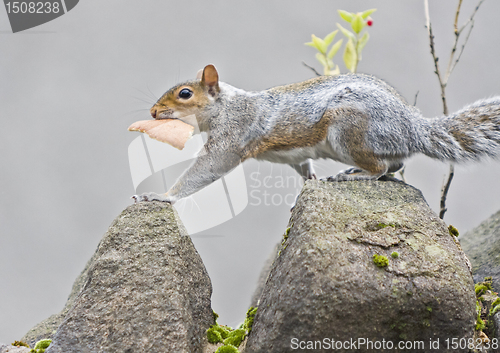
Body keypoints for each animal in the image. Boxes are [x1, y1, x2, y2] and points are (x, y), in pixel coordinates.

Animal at [132, 63, 500, 201]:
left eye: (185, 94)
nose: (153, 112)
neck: (226, 106)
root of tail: (413, 128)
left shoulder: (233, 138)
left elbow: (206, 169)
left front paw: (162, 196)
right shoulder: (293, 156)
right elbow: (303, 166)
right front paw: (309, 182)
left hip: (349, 130)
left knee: (381, 167)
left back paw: (356, 175)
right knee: (395, 165)